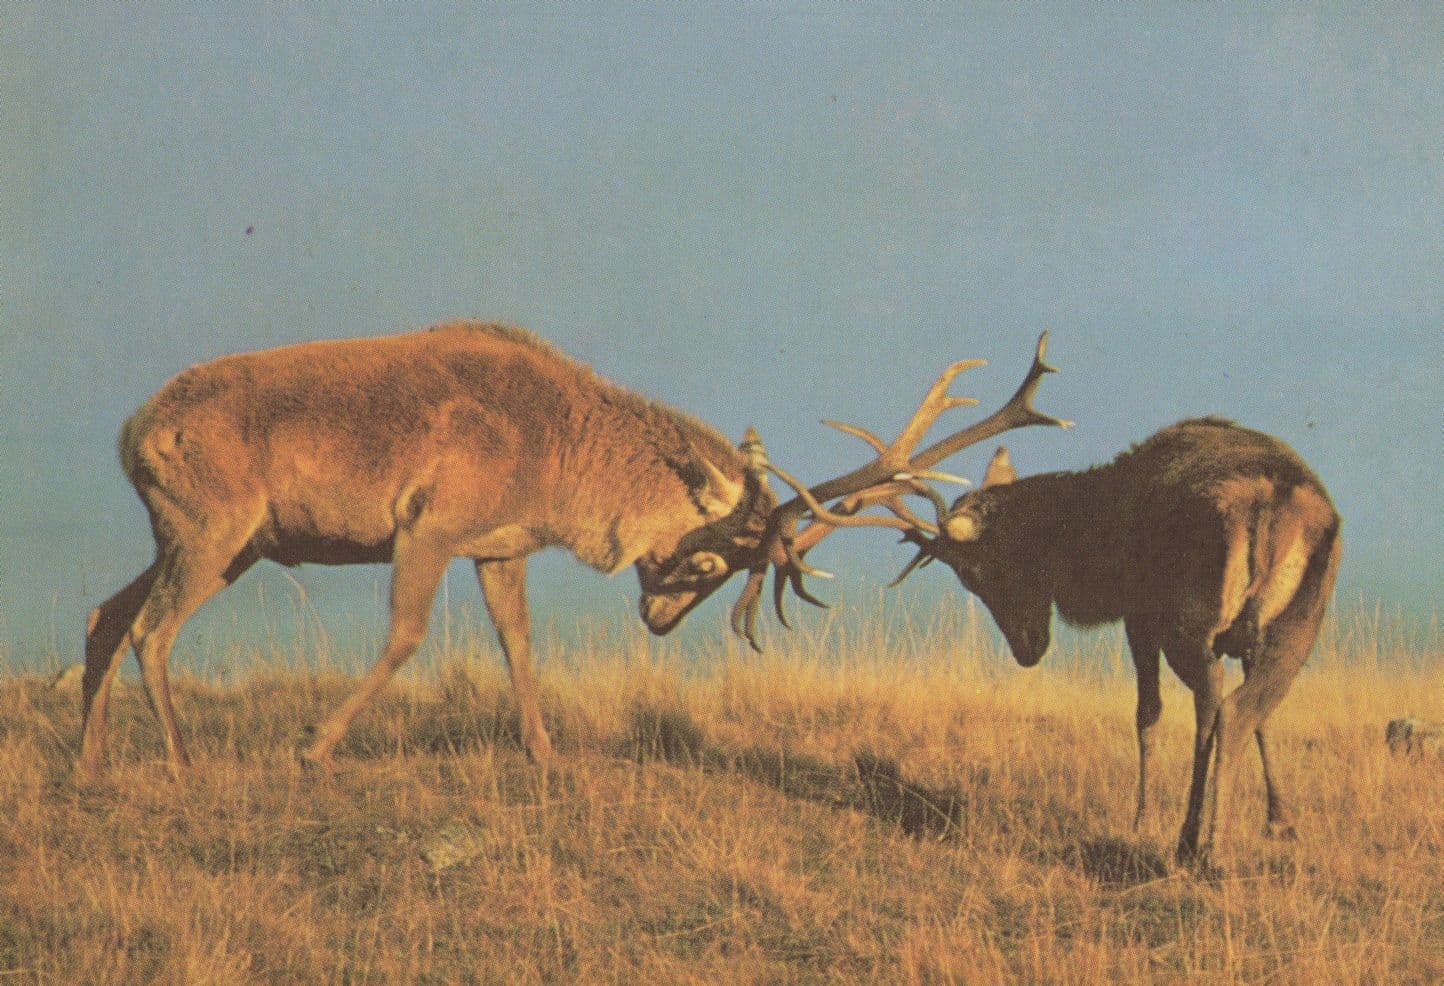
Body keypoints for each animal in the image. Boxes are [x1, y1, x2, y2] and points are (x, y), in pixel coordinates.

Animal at [81, 320, 802, 777]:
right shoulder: (426, 530)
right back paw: (182, 761)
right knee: (152, 630)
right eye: (709, 560)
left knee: (107, 614)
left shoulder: (499, 550)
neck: (558, 443)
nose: (659, 620)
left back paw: (90, 760)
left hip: (211, 546)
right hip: (213, 538)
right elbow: (406, 636)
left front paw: (544, 750)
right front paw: (316, 745)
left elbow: (517, 641)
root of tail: (134, 430)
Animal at [760, 337, 1342, 867]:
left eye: (976, 573)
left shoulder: (1138, 611)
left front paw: (1140, 820)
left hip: (1188, 618)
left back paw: (1196, 845)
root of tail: (1270, 499)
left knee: (1219, 705)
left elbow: (1147, 714)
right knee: (1246, 707)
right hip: (1301, 621)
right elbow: (1262, 721)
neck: (1096, 537)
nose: (1027, 650)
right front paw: (1282, 822)